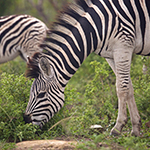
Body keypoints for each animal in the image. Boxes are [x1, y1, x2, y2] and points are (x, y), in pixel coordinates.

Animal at [23, 0, 150, 137]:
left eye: (41, 95)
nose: (25, 120)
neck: (96, 28)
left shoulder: (123, 46)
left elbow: (122, 88)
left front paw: (118, 127)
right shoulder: (111, 54)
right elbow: (128, 86)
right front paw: (136, 128)